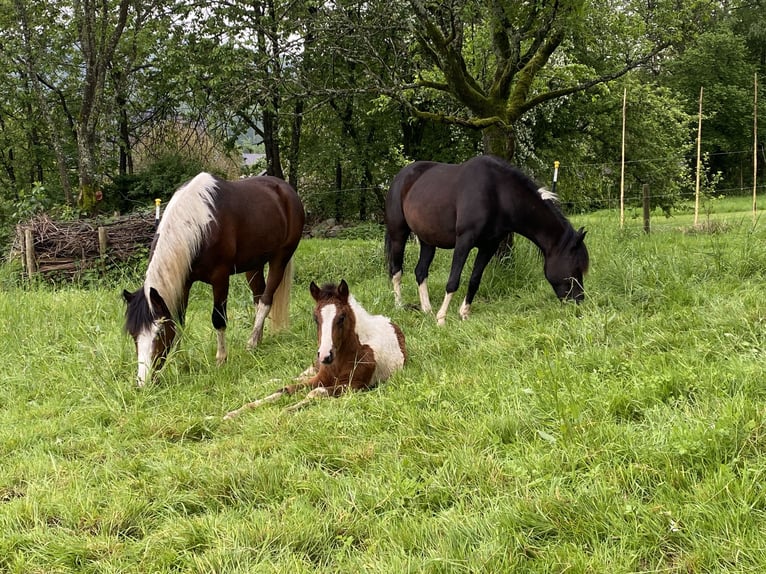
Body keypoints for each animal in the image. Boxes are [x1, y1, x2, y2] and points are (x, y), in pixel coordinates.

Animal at [123, 171, 306, 388]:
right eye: (133, 334)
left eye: (159, 332)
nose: (143, 383)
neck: (200, 224)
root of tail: (285, 189)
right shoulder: (184, 283)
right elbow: (179, 321)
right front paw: (178, 360)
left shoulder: (220, 278)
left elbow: (218, 319)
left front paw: (221, 359)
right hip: (254, 265)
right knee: (258, 297)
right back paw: (258, 339)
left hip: (280, 258)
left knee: (265, 301)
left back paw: (251, 343)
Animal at [224, 280, 408, 418]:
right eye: (315, 318)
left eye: (342, 317)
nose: (325, 355)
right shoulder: (320, 376)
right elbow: (286, 389)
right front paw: (235, 412)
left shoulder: (354, 385)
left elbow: (315, 392)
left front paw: (286, 410)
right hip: (314, 366)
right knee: (295, 377)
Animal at [388, 155, 592, 324]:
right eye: (575, 267)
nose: (579, 302)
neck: (498, 194)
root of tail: (402, 175)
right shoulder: (464, 241)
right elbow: (453, 281)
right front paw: (442, 319)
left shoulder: (489, 246)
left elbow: (475, 280)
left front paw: (464, 314)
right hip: (398, 234)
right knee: (396, 271)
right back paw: (399, 307)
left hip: (428, 241)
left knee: (420, 271)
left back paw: (427, 310)